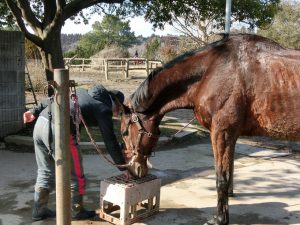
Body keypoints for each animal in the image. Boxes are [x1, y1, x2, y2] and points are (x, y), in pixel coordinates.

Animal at [118, 33, 298, 225]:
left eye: (125, 133)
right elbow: (229, 172)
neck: (212, 71)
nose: (132, 170)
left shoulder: (222, 133)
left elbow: (222, 179)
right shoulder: (230, 135)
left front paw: (220, 219)